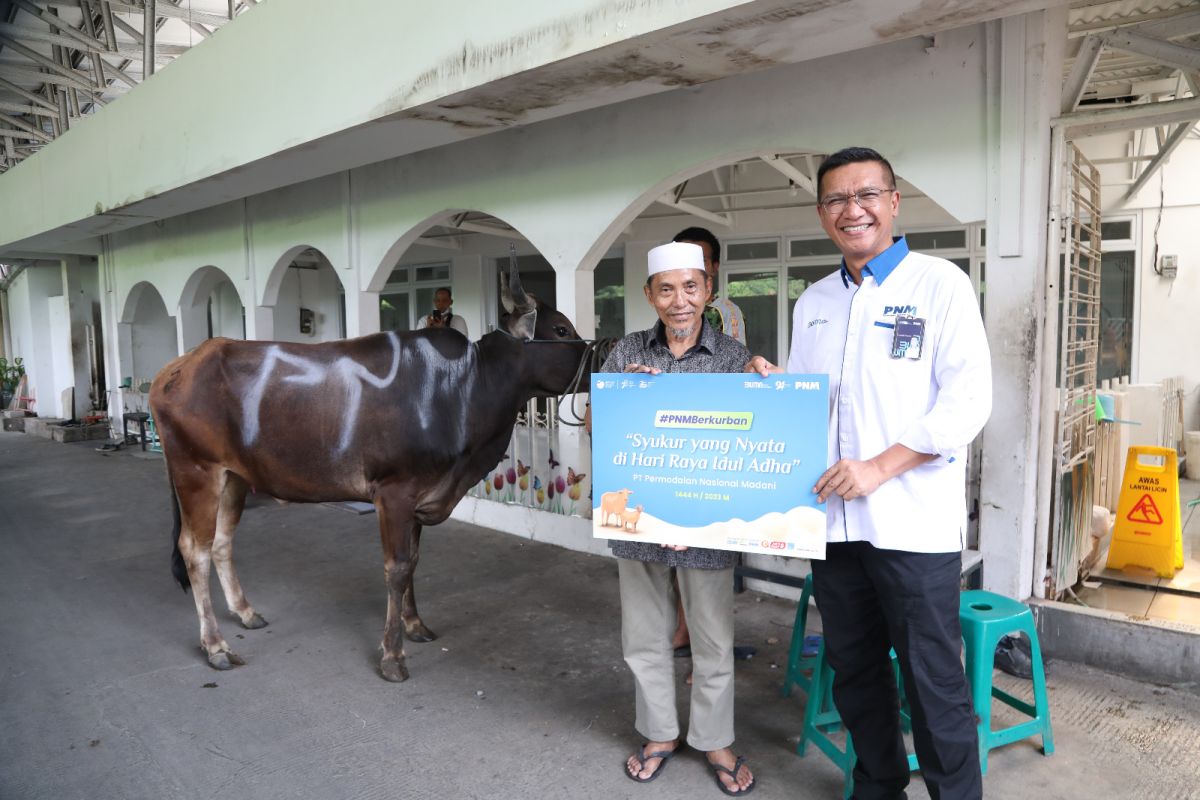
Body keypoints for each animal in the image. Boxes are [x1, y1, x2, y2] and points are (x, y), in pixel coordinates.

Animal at [150, 267, 590, 681]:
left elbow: (413, 561)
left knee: (222, 542)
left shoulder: (421, 495)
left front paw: (415, 625)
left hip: (233, 478)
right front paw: (393, 655)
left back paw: (245, 612)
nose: (596, 358)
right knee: (195, 550)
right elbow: (396, 568)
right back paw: (216, 646)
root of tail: (177, 367)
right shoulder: (395, 493)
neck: (465, 387)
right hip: (196, 472)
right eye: (561, 329)